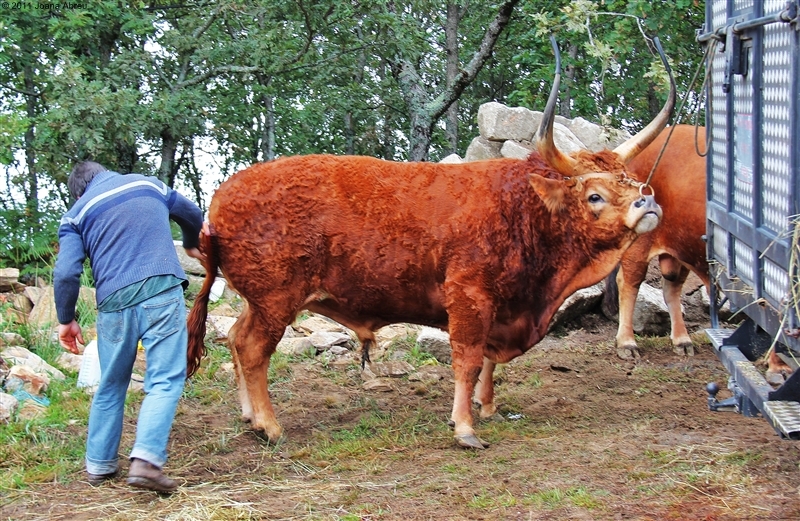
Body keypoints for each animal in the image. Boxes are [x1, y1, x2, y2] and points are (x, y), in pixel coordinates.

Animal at [184, 64, 672, 446]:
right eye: (594, 195)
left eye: (631, 180)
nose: (646, 202)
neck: (522, 209)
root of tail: (224, 195)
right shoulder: (469, 297)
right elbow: (468, 359)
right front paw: (465, 427)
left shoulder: (501, 306)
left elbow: (488, 362)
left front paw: (487, 407)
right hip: (276, 300)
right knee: (252, 350)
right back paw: (269, 426)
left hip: (258, 301)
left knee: (235, 339)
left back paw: (249, 415)